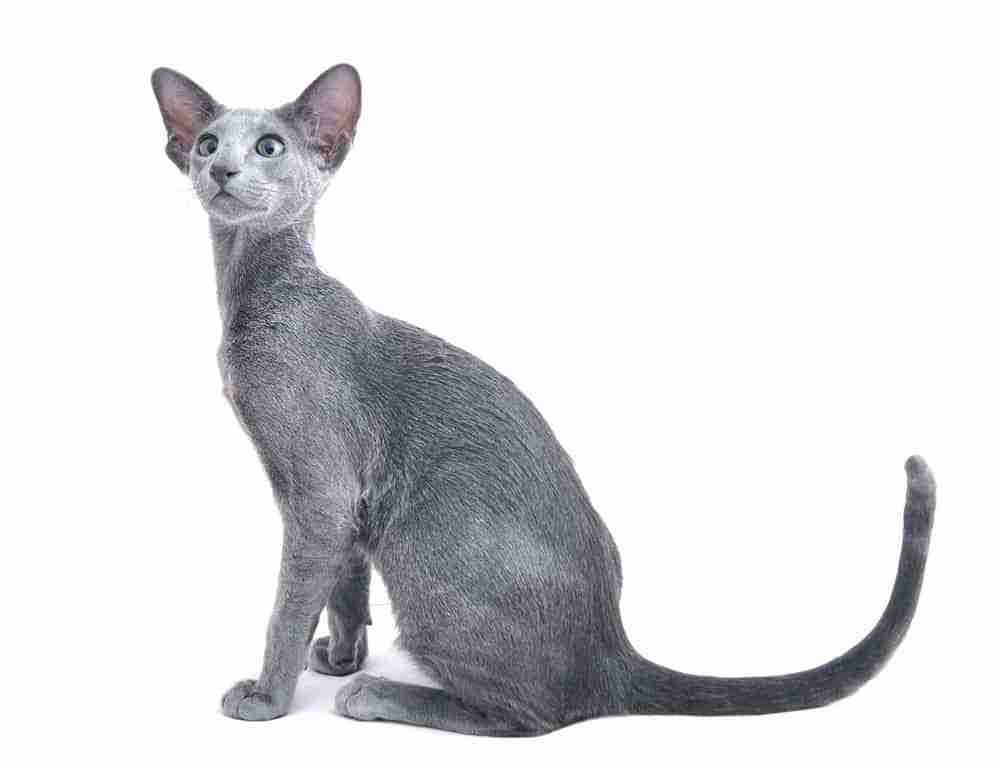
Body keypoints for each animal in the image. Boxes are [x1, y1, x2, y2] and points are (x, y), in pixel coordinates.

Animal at [150, 63, 936, 736]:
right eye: (208, 142)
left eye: (269, 147)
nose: (220, 167)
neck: (258, 293)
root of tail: (613, 654)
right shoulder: (333, 499)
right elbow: (344, 589)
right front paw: (340, 656)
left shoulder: (318, 490)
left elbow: (288, 607)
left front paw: (267, 698)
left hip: (427, 543)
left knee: (533, 715)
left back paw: (378, 694)